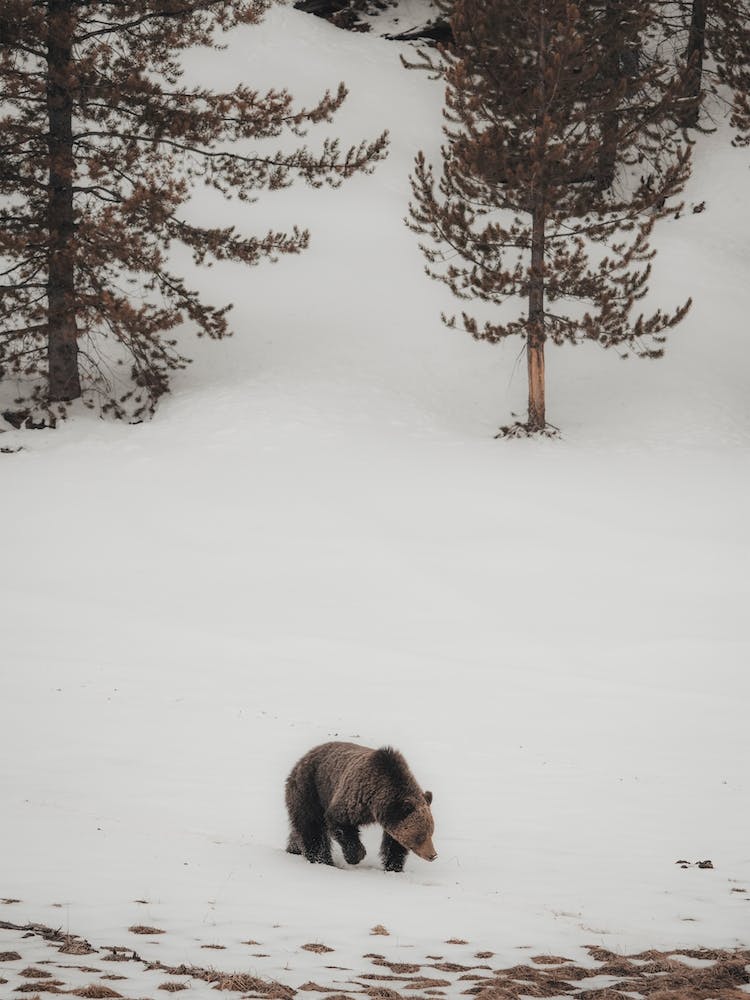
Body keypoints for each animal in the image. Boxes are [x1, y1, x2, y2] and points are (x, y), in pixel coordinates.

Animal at [284, 741, 436, 872]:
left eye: (431, 832)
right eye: (420, 835)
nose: (433, 855)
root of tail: (302, 759)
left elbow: (394, 844)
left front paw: (394, 867)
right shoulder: (356, 799)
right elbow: (340, 823)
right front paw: (357, 855)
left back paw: (293, 848)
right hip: (310, 789)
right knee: (312, 827)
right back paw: (322, 860)